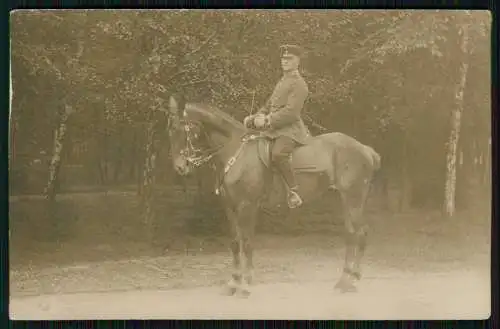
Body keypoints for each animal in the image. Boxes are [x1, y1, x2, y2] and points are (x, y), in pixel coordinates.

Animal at [166, 94, 380, 294]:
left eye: (185, 130)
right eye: (171, 131)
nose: (180, 167)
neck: (235, 153)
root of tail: (364, 149)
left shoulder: (247, 206)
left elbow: (247, 242)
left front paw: (246, 284)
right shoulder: (229, 206)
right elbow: (235, 242)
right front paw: (234, 282)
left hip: (353, 198)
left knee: (356, 233)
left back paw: (347, 281)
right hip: (345, 199)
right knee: (356, 232)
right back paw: (350, 278)